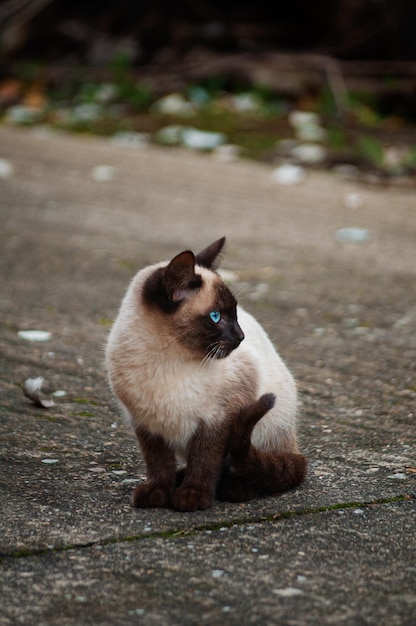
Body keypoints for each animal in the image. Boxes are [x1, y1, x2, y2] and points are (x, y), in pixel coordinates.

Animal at [104, 236, 306, 510]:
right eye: (215, 316)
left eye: (235, 314)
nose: (241, 337)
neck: (167, 362)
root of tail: (294, 442)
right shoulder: (146, 424)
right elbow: (158, 464)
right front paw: (157, 494)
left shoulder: (218, 420)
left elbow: (205, 461)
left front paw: (192, 497)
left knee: (255, 468)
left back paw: (233, 489)